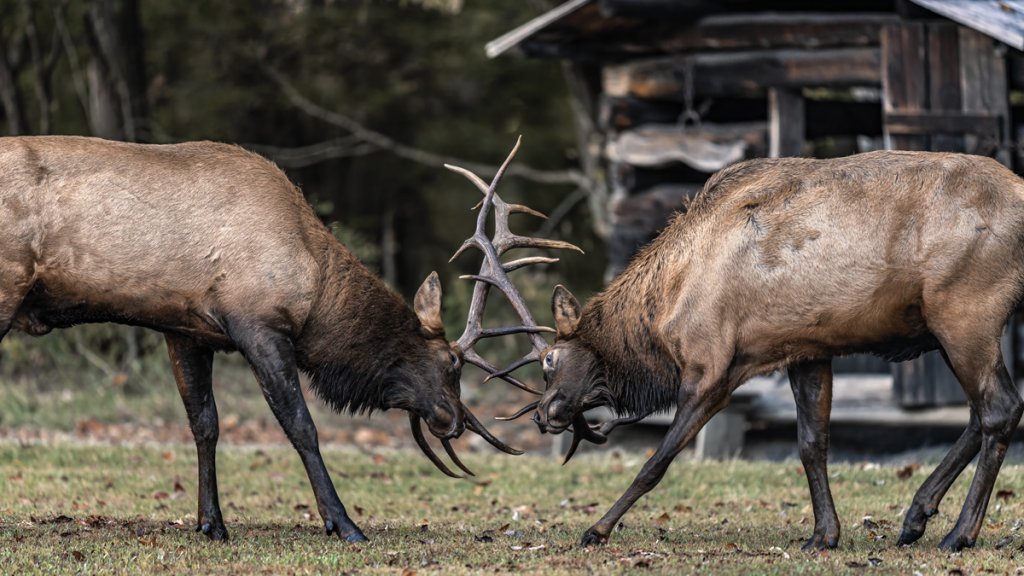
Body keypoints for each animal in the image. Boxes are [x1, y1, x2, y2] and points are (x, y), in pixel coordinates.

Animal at [0, 136, 544, 541]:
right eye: (452, 364)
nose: (455, 421)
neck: (316, 288)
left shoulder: (184, 329)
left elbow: (205, 424)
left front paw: (212, 524)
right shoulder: (258, 325)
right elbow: (301, 426)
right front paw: (344, 524)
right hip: (7, 286)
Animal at [493, 147, 1024, 553]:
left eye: (549, 360)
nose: (542, 414)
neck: (664, 309)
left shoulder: (711, 366)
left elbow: (657, 461)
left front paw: (597, 529)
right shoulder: (805, 348)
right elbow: (811, 444)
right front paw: (823, 535)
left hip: (966, 310)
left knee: (999, 408)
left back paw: (958, 534)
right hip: (951, 324)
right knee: (980, 412)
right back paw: (916, 516)